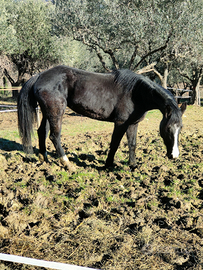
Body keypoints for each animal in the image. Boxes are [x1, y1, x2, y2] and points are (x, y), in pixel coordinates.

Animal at [17, 65, 186, 171]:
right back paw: (67, 164)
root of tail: (40, 75)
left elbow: (132, 144)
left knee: (42, 132)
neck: (135, 93)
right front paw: (108, 164)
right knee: (54, 136)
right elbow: (115, 144)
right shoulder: (120, 123)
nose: (175, 155)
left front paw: (133, 165)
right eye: (168, 128)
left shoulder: (133, 124)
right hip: (56, 112)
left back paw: (44, 160)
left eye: (181, 128)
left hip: (47, 112)